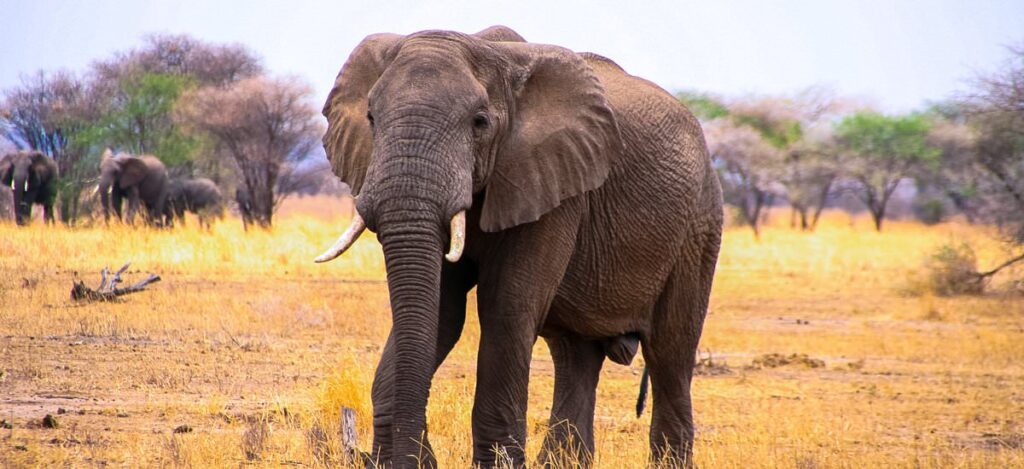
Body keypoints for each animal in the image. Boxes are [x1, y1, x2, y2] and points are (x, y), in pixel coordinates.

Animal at [314, 26, 723, 468]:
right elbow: (442, 310)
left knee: (670, 353)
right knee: (576, 355)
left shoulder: (553, 185)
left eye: (479, 122)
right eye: (371, 118)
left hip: (699, 225)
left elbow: (506, 309)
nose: (409, 458)